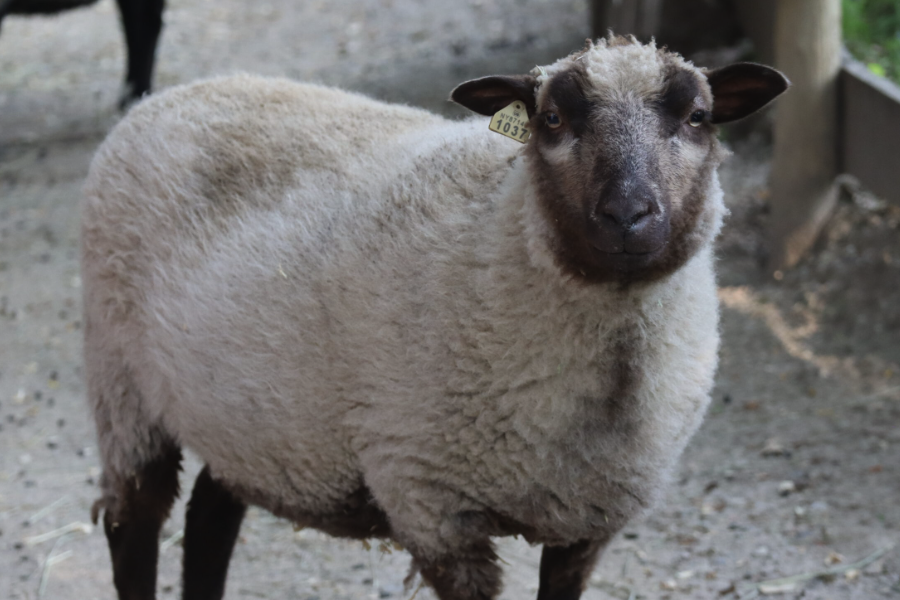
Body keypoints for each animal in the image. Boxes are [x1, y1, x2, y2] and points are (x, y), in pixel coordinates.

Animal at [82, 37, 788, 600]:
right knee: (131, 524)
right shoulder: (433, 504)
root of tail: (175, 94)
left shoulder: (587, 525)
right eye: (552, 119)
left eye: (697, 117)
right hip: (122, 385)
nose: (627, 217)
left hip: (252, 414)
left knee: (210, 514)